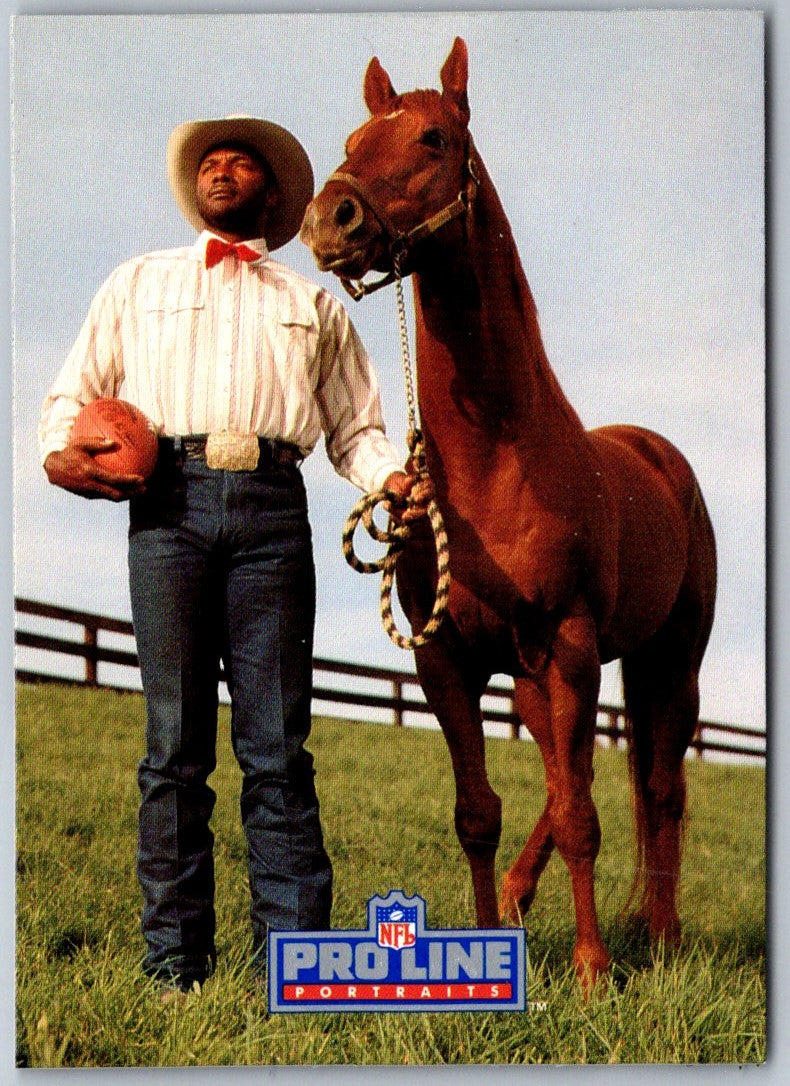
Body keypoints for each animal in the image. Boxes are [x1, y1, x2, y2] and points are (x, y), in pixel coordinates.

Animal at [299, 38, 721, 990]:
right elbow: (482, 811)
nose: (329, 220)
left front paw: (595, 971)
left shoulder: (569, 644)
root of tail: (659, 457)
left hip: (663, 659)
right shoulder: (448, 660)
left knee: (657, 786)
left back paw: (664, 936)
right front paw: (483, 951)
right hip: (543, 677)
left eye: (432, 138)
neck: (496, 459)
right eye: (352, 139)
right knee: (577, 779)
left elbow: (583, 818)